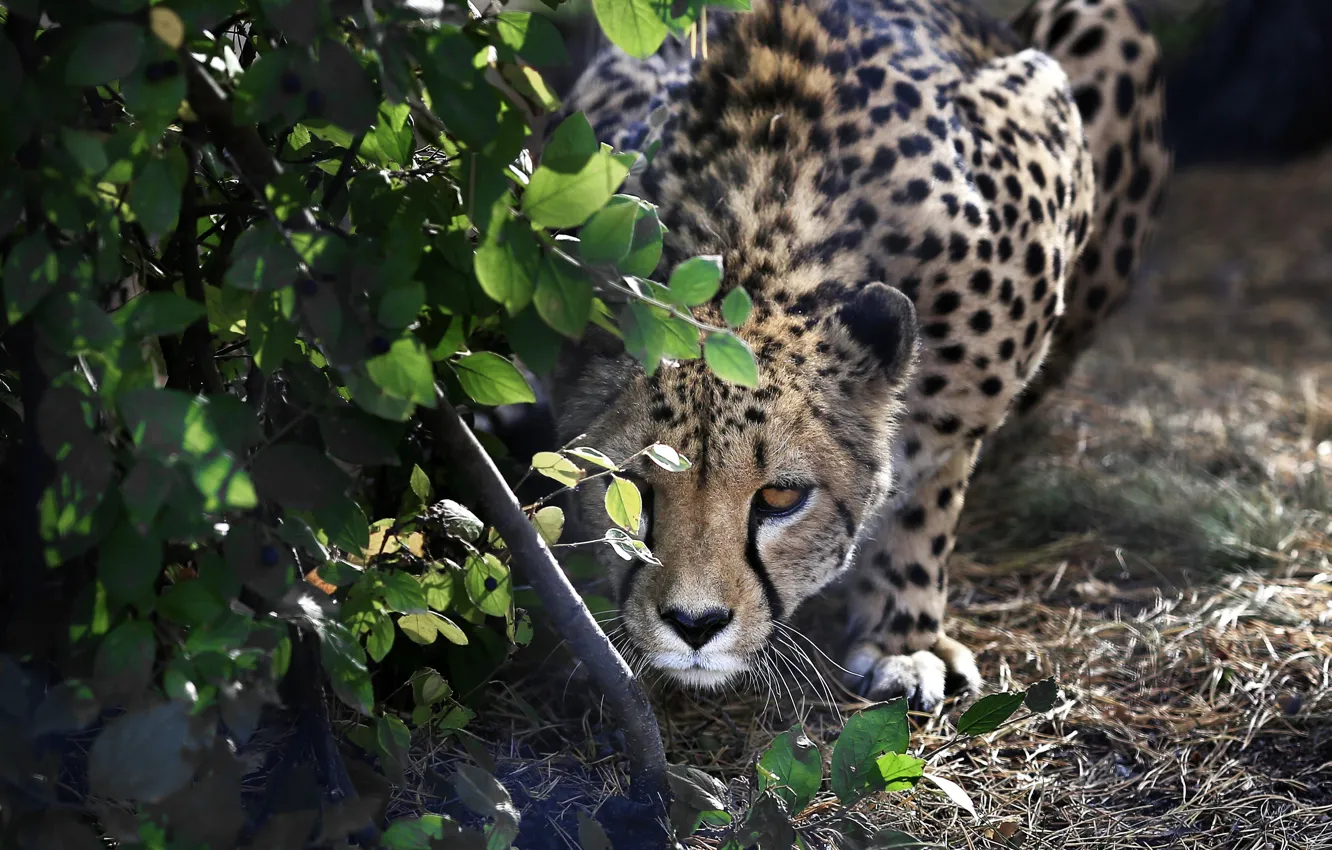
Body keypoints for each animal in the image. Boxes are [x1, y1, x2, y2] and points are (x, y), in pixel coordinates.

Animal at [542, 0, 1170, 710]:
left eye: (781, 497)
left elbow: (931, 486)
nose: (695, 624)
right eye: (631, 486)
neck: (758, 231)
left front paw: (904, 634)